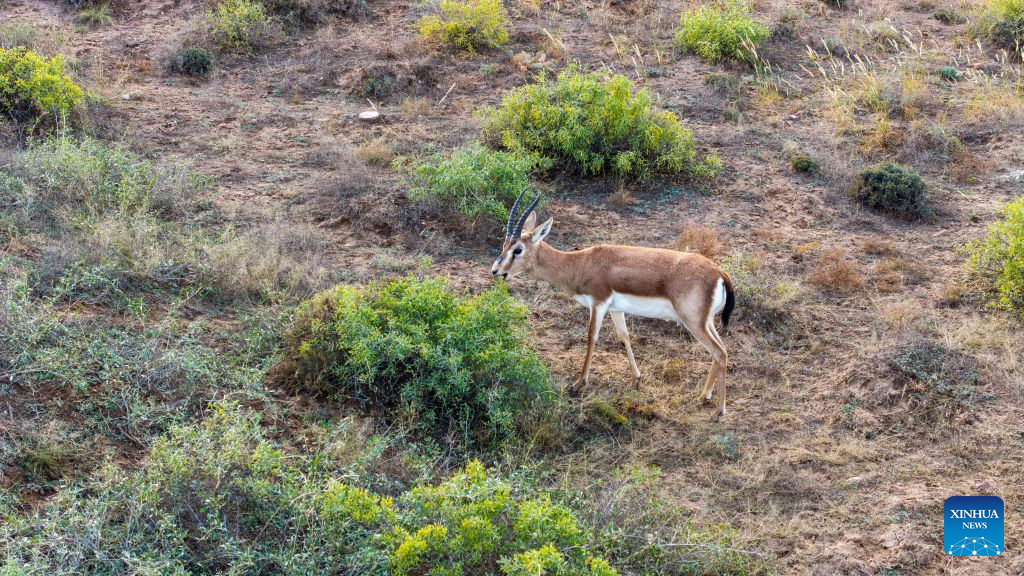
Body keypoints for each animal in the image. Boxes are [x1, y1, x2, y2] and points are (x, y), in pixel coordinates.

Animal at [491, 191, 736, 417]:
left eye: (518, 249)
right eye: (504, 244)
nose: (496, 271)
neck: (580, 264)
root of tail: (719, 273)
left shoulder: (598, 303)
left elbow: (592, 337)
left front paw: (579, 383)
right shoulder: (616, 309)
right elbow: (623, 336)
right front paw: (636, 379)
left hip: (693, 322)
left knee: (720, 353)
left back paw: (720, 410)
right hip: (705, 322)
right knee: (720, 350)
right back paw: (704, 395)